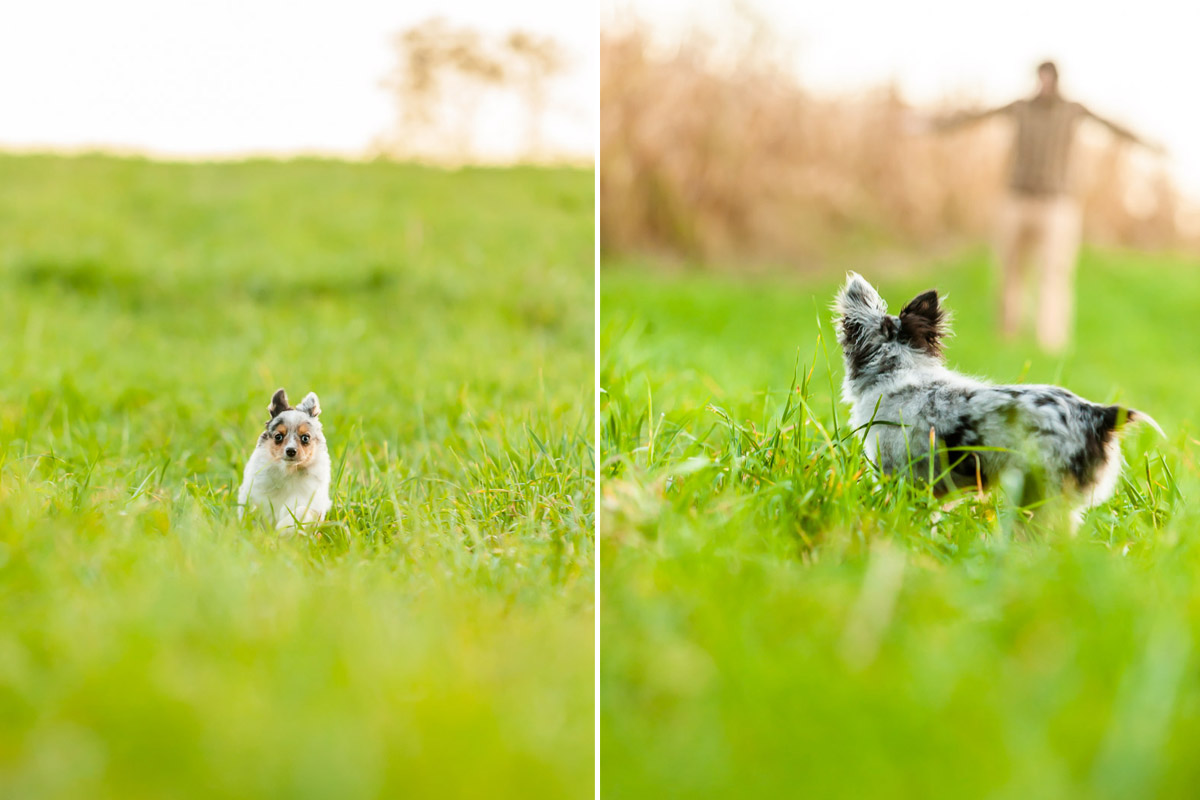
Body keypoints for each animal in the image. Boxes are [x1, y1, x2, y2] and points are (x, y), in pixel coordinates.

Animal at [236, 388, 331, 532]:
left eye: (305, 438)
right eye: (278, 437)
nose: (290, 451)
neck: (289, 471)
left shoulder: (314, 504)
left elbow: (303, 511)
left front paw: (285, 528)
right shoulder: (253, 496)